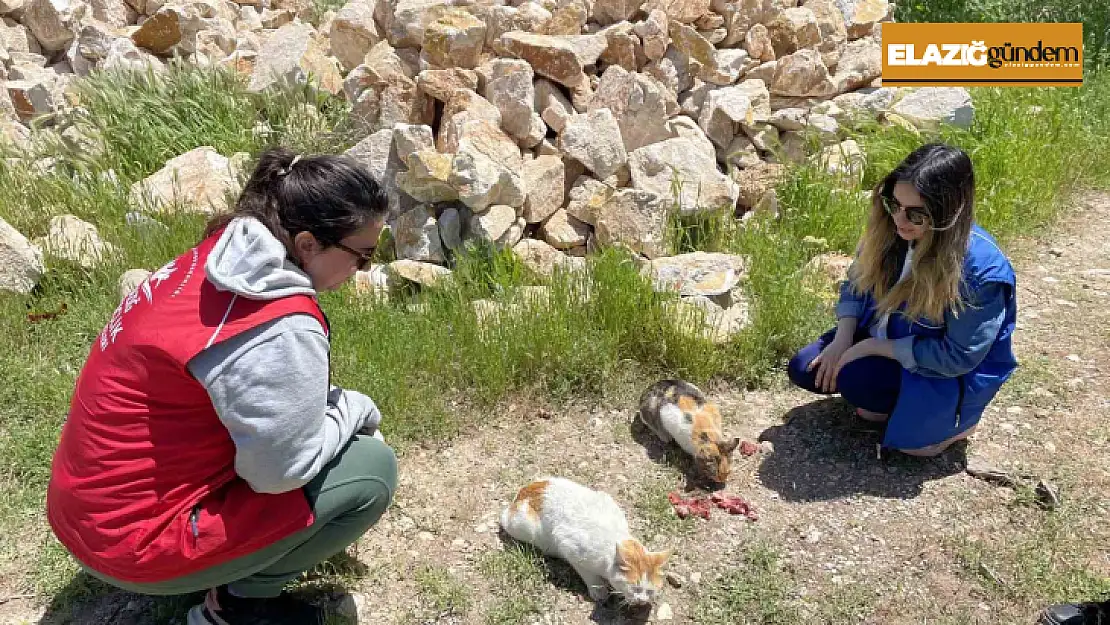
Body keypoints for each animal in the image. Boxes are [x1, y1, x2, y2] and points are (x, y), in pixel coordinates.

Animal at [501, 479, 670, 608]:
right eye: (635, 587)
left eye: (650, 591)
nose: (642, 601)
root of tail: (526, 489)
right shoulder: (568, 546)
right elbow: (589, 575)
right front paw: (599, 590)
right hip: (523, 527)